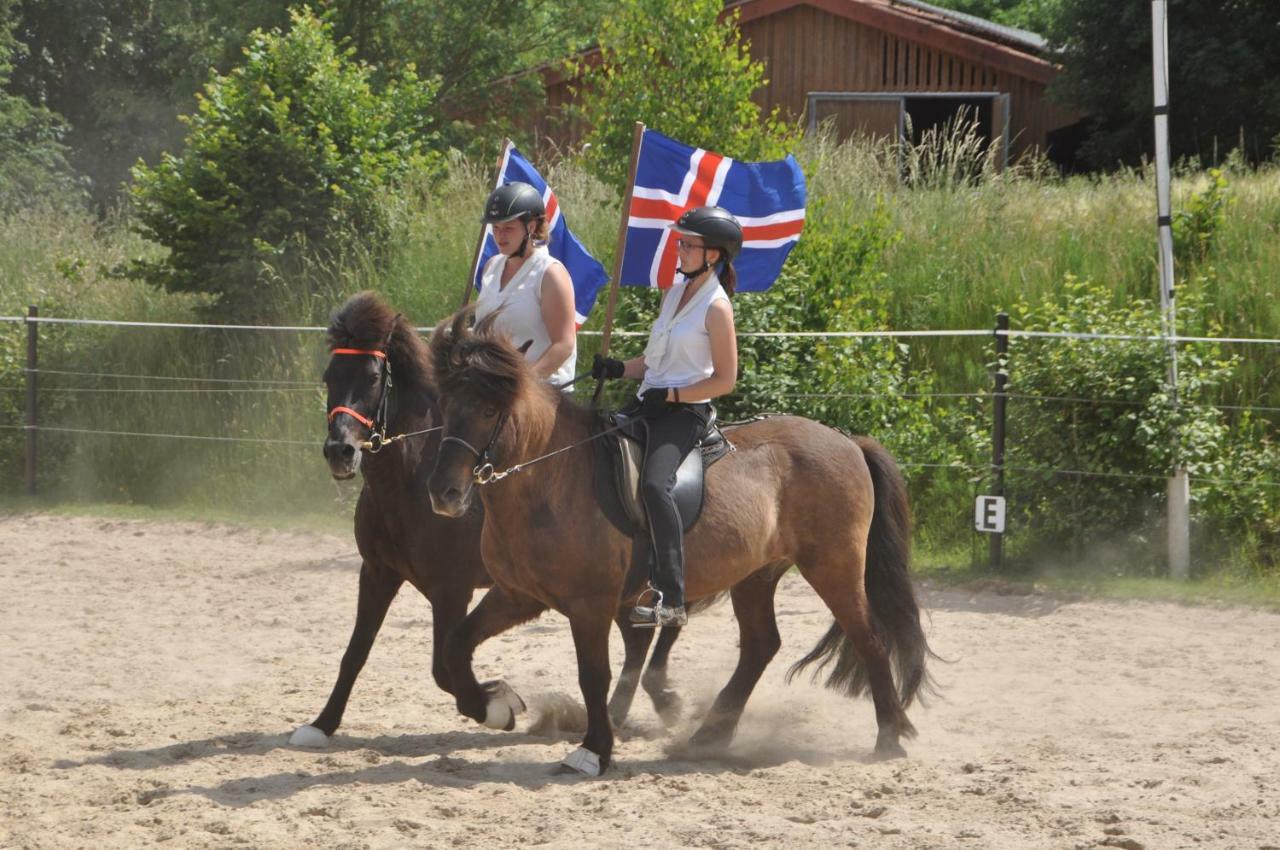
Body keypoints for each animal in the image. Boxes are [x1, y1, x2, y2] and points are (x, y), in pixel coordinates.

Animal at [291, 291, 686, 742]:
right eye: (329, 377)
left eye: (373, 378)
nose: (340, 452)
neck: (408, 483)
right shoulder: (377, 573)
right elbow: (356, 652)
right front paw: (322, 724)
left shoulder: (451, 588)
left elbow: (442, 666)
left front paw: (498, 704)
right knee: (638, 638)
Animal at [424, 312, 936, 778]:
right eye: (445, 405)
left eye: (489, 411)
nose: (444, 494)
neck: (551, 480)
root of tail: (847, 442)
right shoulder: (519, 595)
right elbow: (456, 643)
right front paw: (494, 705)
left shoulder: (590, 605)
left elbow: (594, 676)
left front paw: (593, 750)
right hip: (757, 574)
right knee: (760, 645)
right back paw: (709, 734)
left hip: (833, 566)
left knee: (869, 638)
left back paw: (889, 738)